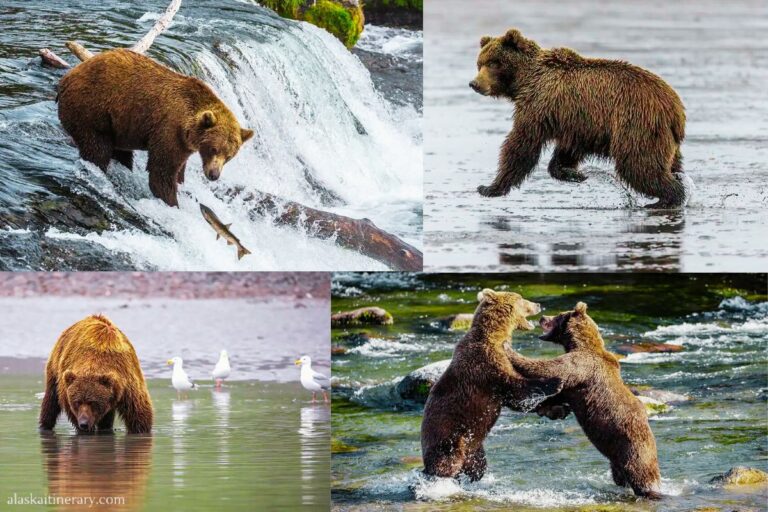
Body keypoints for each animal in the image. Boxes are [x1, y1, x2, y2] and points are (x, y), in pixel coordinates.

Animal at [57, 49, 254, 207]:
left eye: (229, 156)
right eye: (214, 148)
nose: (214, 174)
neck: (187, 128)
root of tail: (67, 77)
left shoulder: (184, 144)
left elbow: (179, 170)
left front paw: (180, 185)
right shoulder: (169, 129)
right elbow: (162, 172)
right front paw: (172, 202)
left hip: (119, 125)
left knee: (120, 152)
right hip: (91, 109)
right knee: (97, 148)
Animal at [421, 289, 564, 482]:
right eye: (521, 298)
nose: (538, 304)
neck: (495, 335)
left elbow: (516, 399)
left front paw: (558, 409)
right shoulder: (485, 365)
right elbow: (514, 387)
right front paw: (556, 382)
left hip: (474, 448)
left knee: (478, 466)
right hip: (449, 439)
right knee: (446, 463)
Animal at [470, 29, 687, 208]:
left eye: (493, 63)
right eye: (479, 63)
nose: (474, 83)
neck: (524, 80)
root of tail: (675, 107)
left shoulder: (539, 105)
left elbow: (522, 144)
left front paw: (489, 187)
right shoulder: (577, 122)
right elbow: (568, 150)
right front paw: (575, 174)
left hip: (637, 125)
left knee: (638, 164)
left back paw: (666, 199)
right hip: (664, 139)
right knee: (669, 165)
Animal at [507, 302, 662, 499]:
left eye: (558, 315)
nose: (543, 317)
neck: (579, 343)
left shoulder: (582, 367)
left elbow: (549, 368)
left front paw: (509, 349)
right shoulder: (573, 386)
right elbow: (556, 392)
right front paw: (552, 409)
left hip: (633, 449)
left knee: (641, 474)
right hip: (617, 459)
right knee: (619, 476)